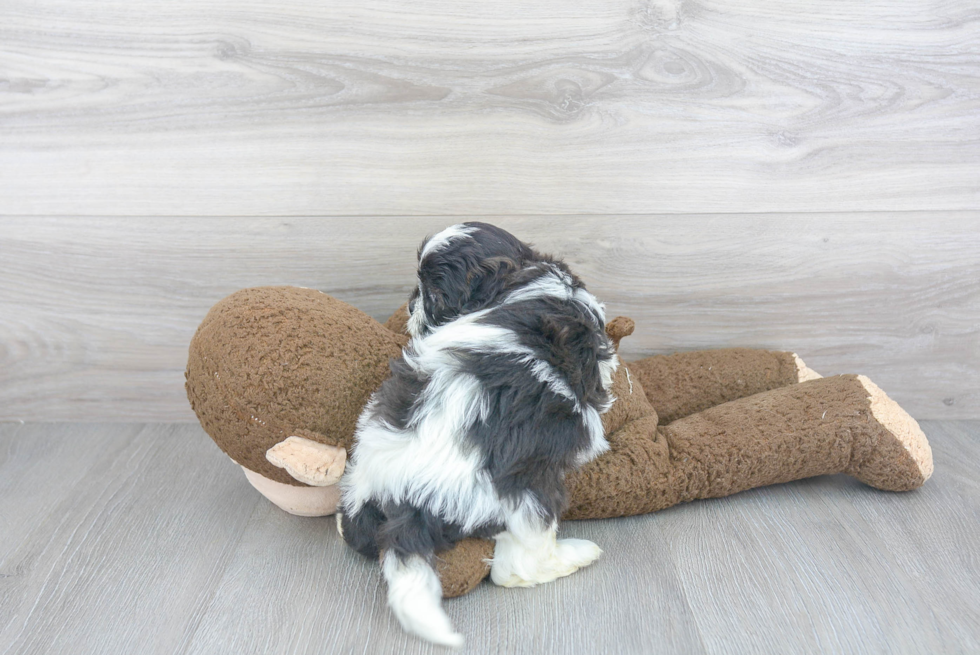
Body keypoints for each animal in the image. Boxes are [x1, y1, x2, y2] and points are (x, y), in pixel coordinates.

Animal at [340, 223, 616, 648]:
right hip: (530, 492)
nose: (410, 306)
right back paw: (577, 555)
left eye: (434, 295)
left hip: (365, 457)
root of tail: (407, 496)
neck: (522, 279)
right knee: (517, 565)